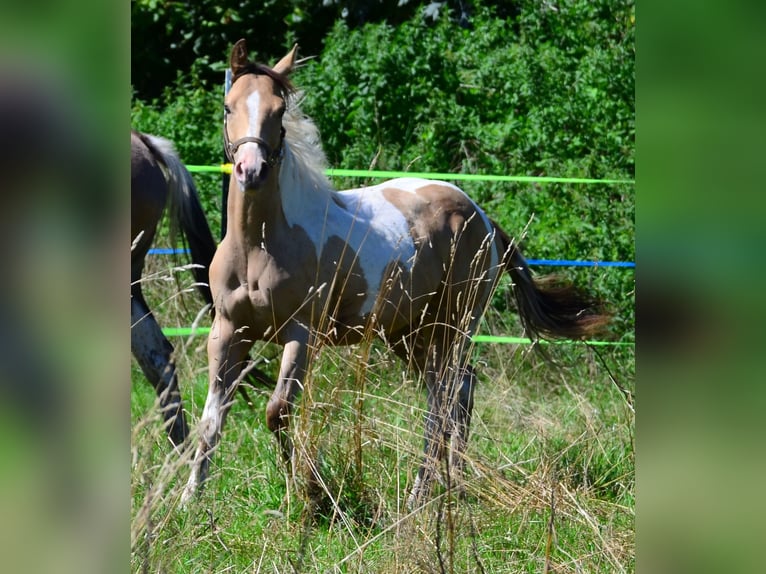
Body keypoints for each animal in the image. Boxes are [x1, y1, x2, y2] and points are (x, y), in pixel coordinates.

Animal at [181, 39, 609, 507]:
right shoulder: (228, 331)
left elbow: (278, 411)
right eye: (228, 106)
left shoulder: (301, 333)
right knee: (457, 391)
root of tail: (482, 218)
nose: (251, 170)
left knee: (447, 399)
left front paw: (302, 491)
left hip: (454, 324)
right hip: (410, 334)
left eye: (279, 111)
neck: (260, 247)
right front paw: (188, 501)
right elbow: (210, 421)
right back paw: (450, 484)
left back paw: (423, 493)